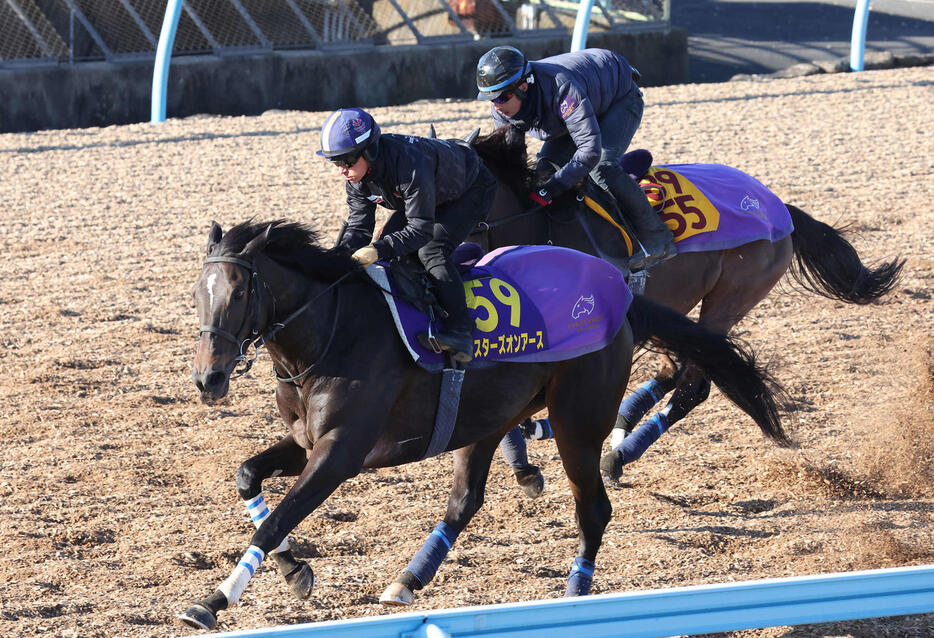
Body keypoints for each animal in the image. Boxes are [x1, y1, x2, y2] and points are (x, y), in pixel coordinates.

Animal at [177, 220, 788, 632]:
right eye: (197, 294)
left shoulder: (343, 453)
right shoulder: (308, 443)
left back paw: (576, 590)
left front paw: (212, 601)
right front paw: (292, 570)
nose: (209, 378)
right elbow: (247, 477)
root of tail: (620, 296)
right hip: (488, 418)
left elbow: (278, 518)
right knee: (465, 501)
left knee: (593, 506)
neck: (331, 332)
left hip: (576, 418)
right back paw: (407, 580)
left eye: (240, 291)